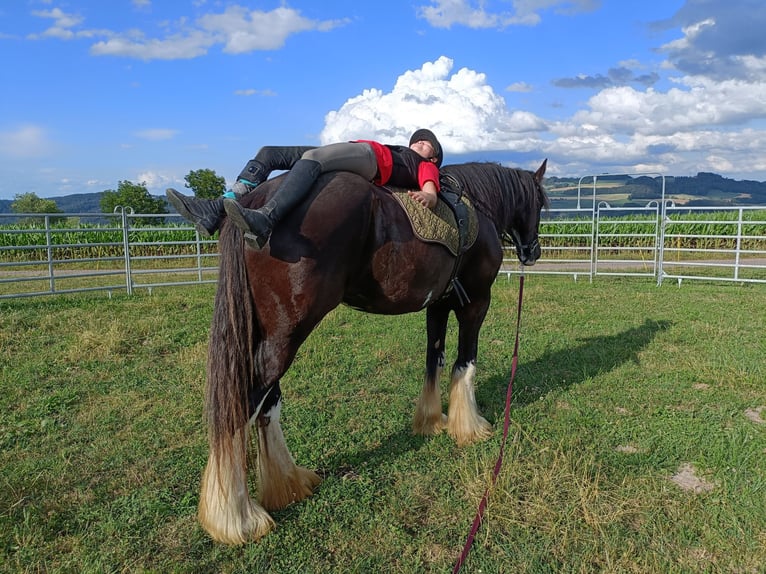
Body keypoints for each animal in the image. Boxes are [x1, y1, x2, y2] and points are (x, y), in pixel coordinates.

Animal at [198, 160, 549, 544]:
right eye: (541, 202)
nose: (532, 252)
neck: (477, 208)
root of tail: (255, 206)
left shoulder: (438, 304)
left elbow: (435, 359)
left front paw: (431, 420)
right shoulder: (476, 302)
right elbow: (464, 362)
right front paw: (469, 427)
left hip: (272, 333)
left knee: (268, 403)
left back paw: (288, 483)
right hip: (287, 333)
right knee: (246, 404)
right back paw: (236, 519)